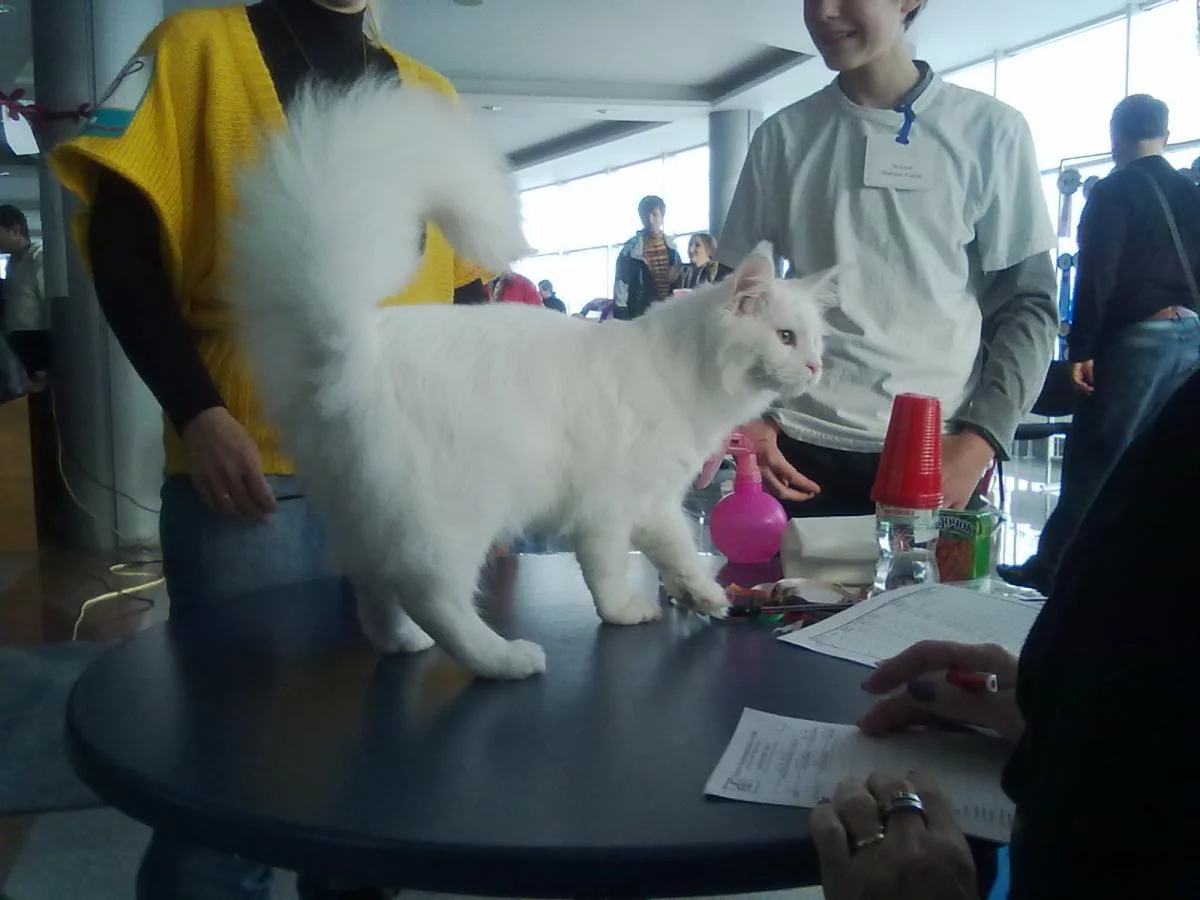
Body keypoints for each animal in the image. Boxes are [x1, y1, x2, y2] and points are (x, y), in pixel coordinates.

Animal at [227, 77, 833, 680]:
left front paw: (707, 597)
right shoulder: (607, 506)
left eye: (815, 343)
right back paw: (504, 659)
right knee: (432, 597)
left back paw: (403, 642)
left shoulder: (655, 499)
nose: (814, 368)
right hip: (455, 512)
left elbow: (680, 553)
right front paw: (625, 612)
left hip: (367, 515)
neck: (684, 369)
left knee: (374, 592)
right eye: (785, 338)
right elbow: (607, 571)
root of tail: (347, 339)